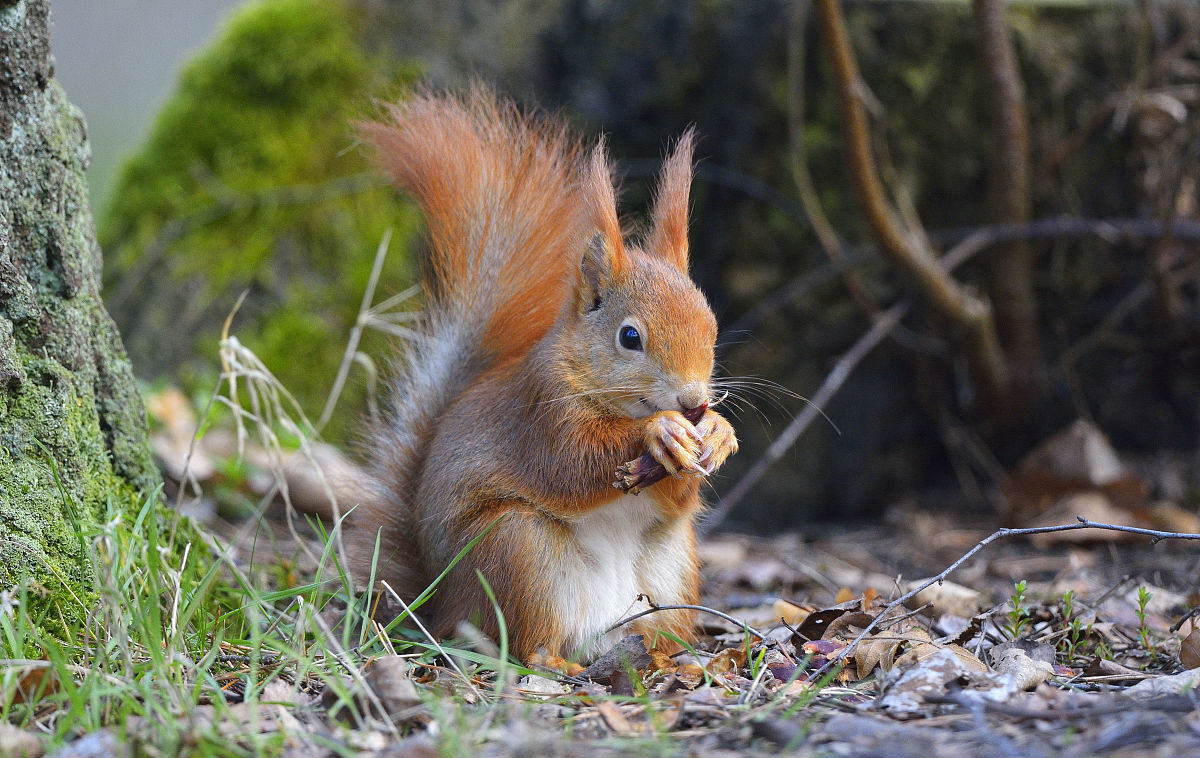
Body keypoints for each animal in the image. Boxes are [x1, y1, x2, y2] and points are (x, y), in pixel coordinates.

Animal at [350, 85, 734, 662]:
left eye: (711, 323)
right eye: (629, 337)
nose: (694, 403)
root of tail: (442, 606)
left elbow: (679, 495)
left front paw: (718, 433)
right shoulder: (539, 413)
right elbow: (571, 464)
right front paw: (658, 431)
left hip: (672, 564)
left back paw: (667, 657)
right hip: (518, 552)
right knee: (526, 643)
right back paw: (552, 660)